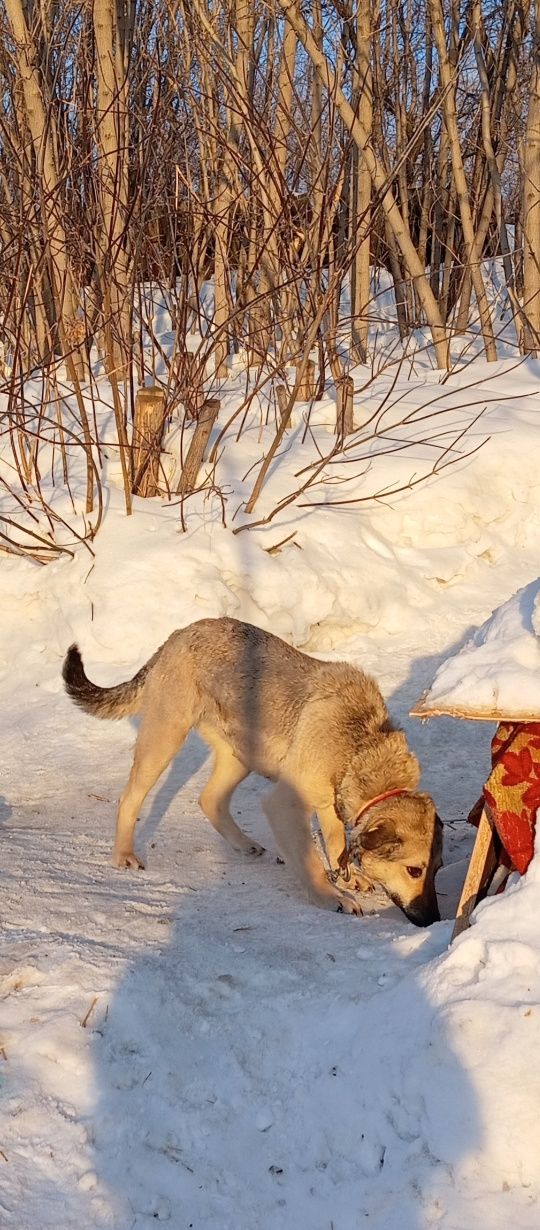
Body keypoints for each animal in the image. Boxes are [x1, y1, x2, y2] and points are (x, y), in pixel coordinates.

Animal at [63, 619, 442, 924]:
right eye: (414, 870)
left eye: (436, 869)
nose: (432, 921)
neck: (359, 746)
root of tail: (177, 635)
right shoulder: (287, 805)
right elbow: (312, 862)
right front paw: (330, 896)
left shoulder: (328, 801)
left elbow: (337, 843)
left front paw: (349, 876)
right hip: (165, 736)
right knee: (130, 797)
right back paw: (124, 854)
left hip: (240, 755)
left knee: (209, 799)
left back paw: (243, 844)